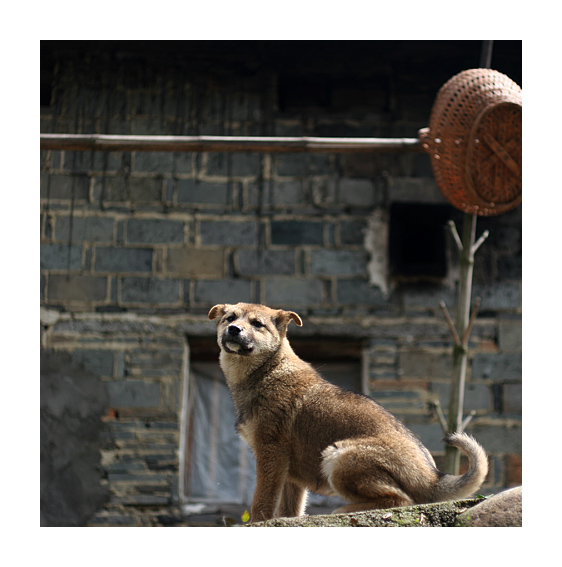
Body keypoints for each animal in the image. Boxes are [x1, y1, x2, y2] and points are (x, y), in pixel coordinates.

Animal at [208, 302, 488, 524]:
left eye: (257, 324)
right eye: (230, 318)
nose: (234, 330)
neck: (267, 371)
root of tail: (431, 478)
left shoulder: (271, 451)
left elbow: (262, 500)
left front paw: (257, 522)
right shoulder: (289, 471)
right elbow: (290, 510)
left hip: (339, 456)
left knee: (400, 499)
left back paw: (344, 510)